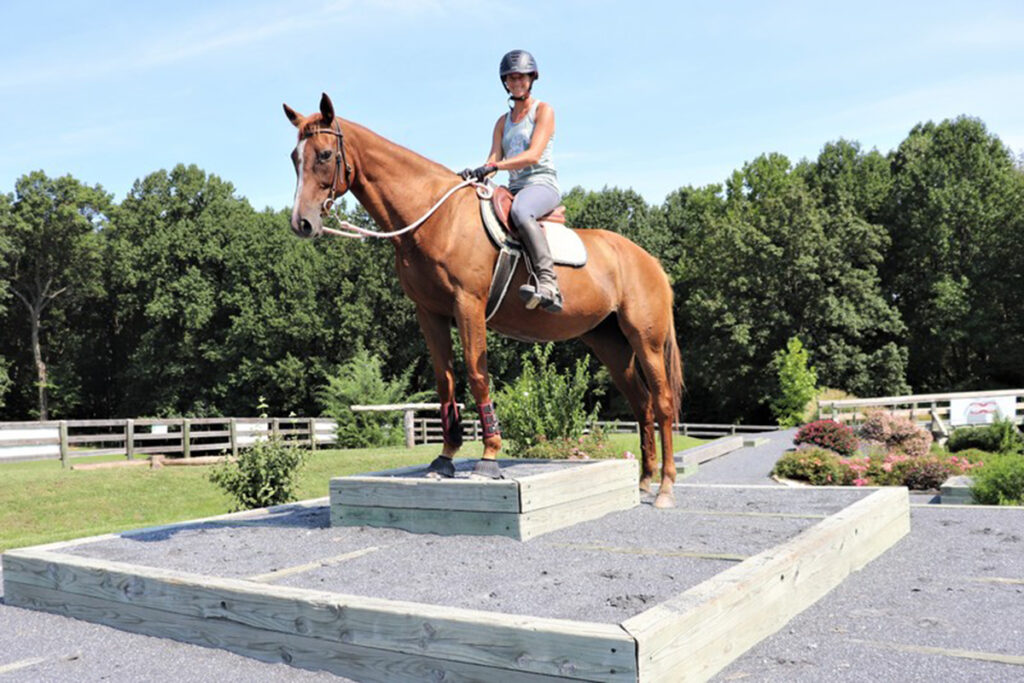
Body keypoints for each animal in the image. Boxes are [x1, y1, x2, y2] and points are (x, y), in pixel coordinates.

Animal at [284, 92, 684, 507]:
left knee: (662, 403)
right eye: (295, 157)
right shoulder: (429, 313)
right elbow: (445, 381)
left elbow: (478, 376)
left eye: (325, 154)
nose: (302, 223)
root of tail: (649, 261)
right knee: (641, 404)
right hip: (610, 343)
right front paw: (444, 458)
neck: (436, 217)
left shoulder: (468, 304)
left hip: (646, 339)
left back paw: (665, 487)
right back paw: (643, 481)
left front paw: (489, 457)